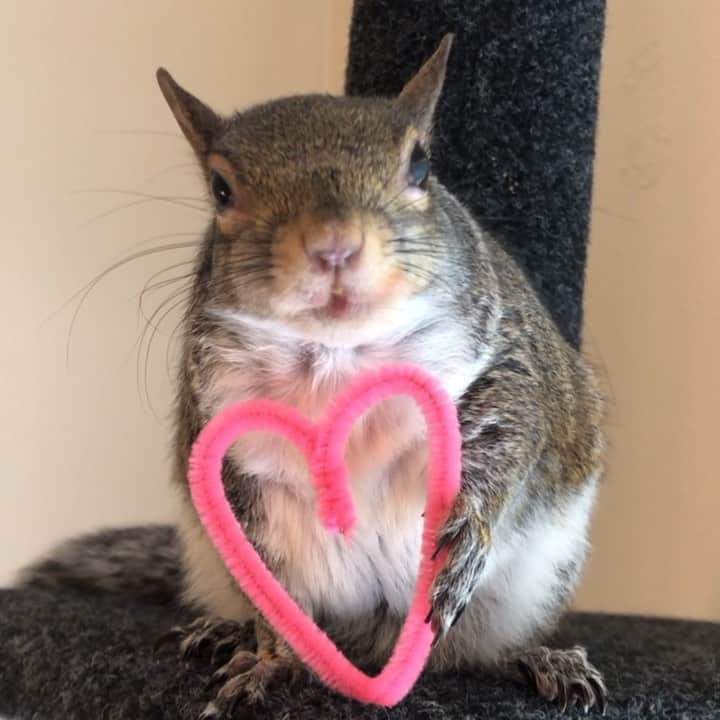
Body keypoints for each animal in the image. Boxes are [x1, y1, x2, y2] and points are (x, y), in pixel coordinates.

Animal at [21, 35, 607, 717]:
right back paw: (227, 632)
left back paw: (540, 658)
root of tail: (367, 646)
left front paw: (466, 538)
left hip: (535, 585)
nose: (334, 245)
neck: (337, 354)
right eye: (220, 188)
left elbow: (512, 428)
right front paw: (271, 662)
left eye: (421, 167)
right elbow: (264, 567)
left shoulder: (504, 355)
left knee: (475, 653)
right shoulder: (226, 432)